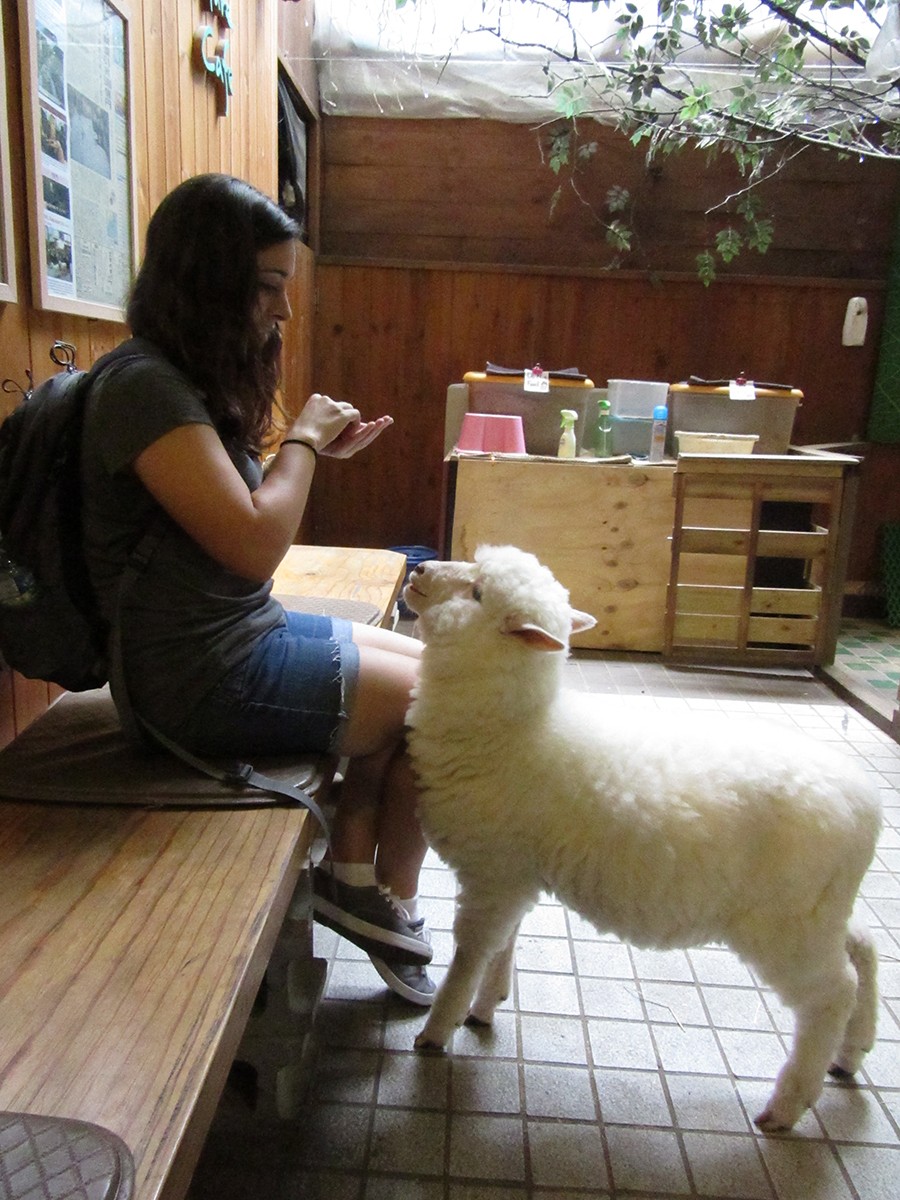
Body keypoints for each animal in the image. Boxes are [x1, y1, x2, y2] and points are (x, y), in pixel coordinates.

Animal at [405, 544, 883, 1132]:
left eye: (477, 594)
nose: (420, 570)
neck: (513, 729)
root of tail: (867, 804)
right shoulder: (515, 875)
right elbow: (503, 946)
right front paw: (486, 1006)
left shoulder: (492, 873)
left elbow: (470, 955)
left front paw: (437, 1029)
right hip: (821, 909)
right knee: (864, 948)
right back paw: (852, 1052)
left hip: (785, 924)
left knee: (833, 992)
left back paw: (788, 1104)